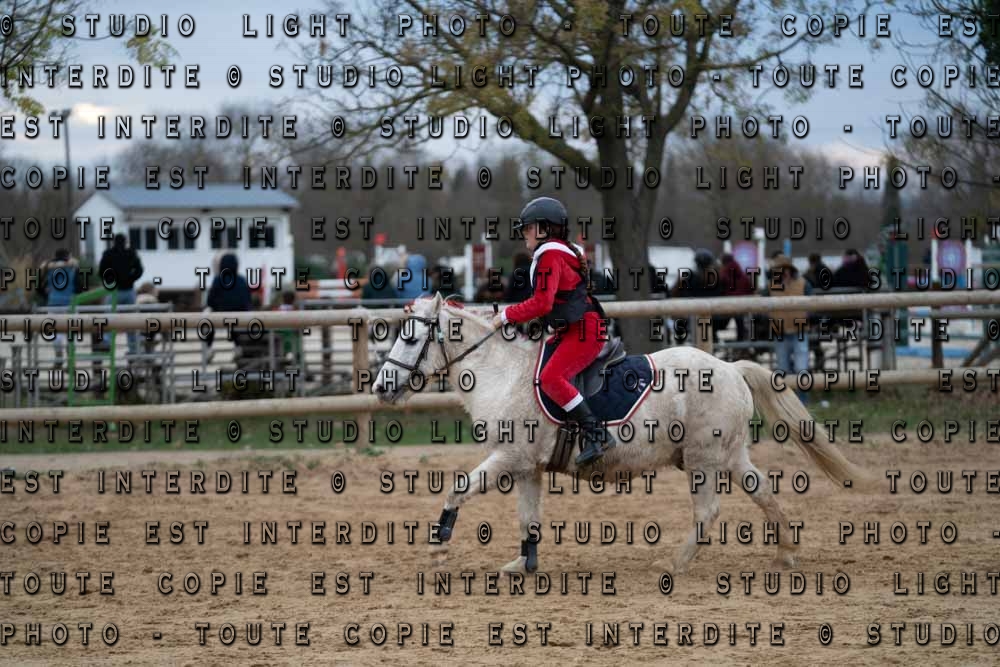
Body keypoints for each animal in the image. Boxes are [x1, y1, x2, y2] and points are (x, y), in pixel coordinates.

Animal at [371, 293, 867, 576]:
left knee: (708, 512)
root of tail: (729, 367)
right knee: (762, 492)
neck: (502, 373)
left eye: (411, 338)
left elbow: (456, 490)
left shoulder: (508, 460)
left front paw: (438, 550)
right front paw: (524, 564)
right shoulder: (527, 468)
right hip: (729, 455)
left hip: (704, 460)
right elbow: (529, 519)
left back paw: (674, 564)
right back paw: (784, 553)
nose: (380, 387)